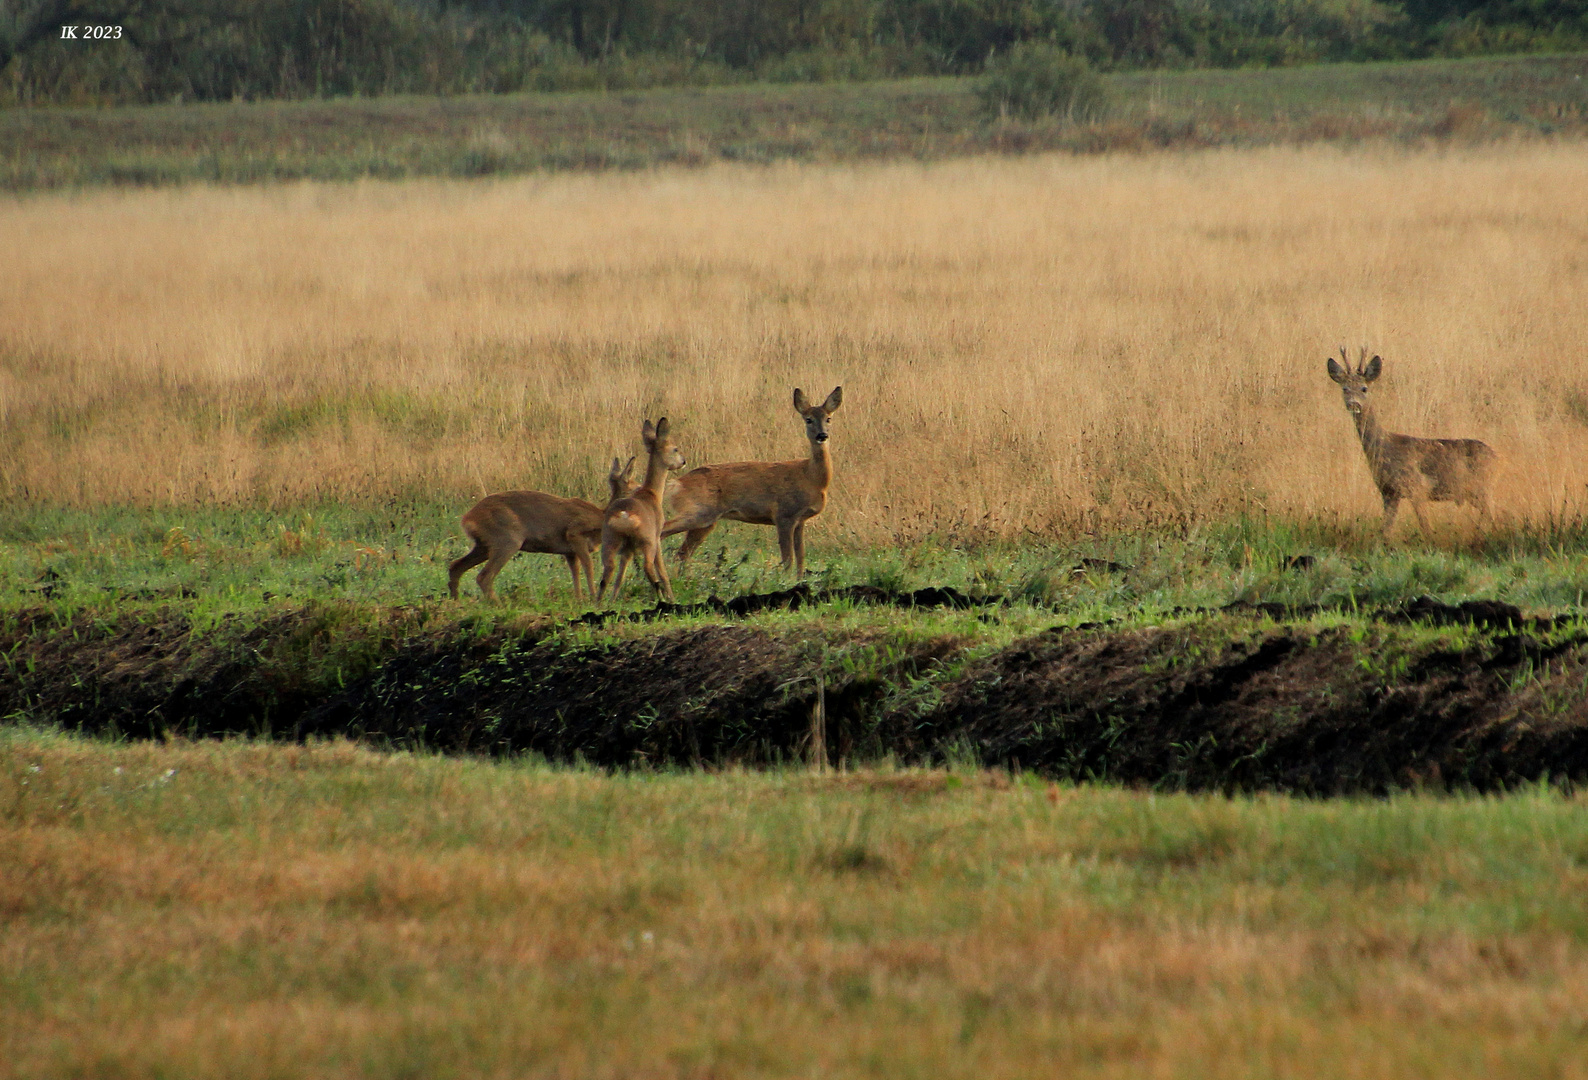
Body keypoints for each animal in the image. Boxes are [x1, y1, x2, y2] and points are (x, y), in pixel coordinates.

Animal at [447, 454, 638, 603]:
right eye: (636, 487)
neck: (601, 517)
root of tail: (468, 518)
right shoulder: (574, 533)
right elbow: (589, 567)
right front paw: (592, 599)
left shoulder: (569, 552)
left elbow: (575, 574)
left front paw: (579, 600)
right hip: (507, 540)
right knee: (484, 577)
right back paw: (498, 606)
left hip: (484, 545)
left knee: (455, 567)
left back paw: (457, 603)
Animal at [597, 416, 686, 603]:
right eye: (675, 448)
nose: (683, 461)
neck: (652, 493)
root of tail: (624, 515)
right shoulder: (657, 537)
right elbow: (663, 572)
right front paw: (672, 598)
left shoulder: (628, 549)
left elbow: (620, 577)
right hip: (647, 542)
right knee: (649, 570)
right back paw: (662, 599)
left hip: (610, 541)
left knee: (608, 573)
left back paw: (600, 604)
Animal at [663, 385, 844, 578]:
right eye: (808, 419)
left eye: (828, 418)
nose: (822, 435)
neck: (812, 478)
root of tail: (677, 483)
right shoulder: (783, 514)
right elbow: (788, 559)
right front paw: (785, 580)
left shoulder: (800, 520)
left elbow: (801, 558)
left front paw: (799, 580)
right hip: (699, 511)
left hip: (706, 522)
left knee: (682, 554)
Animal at [1327, 347, 1499, 536]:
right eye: (1345, 388)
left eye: (1364, 388)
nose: (1353, 404)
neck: (1383, 447)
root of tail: (1496, 458)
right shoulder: (1388, 492)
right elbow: (1385, 531)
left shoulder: (1417, 487)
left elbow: (1426, 528)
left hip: (1481, 489)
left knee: (1492, 515)